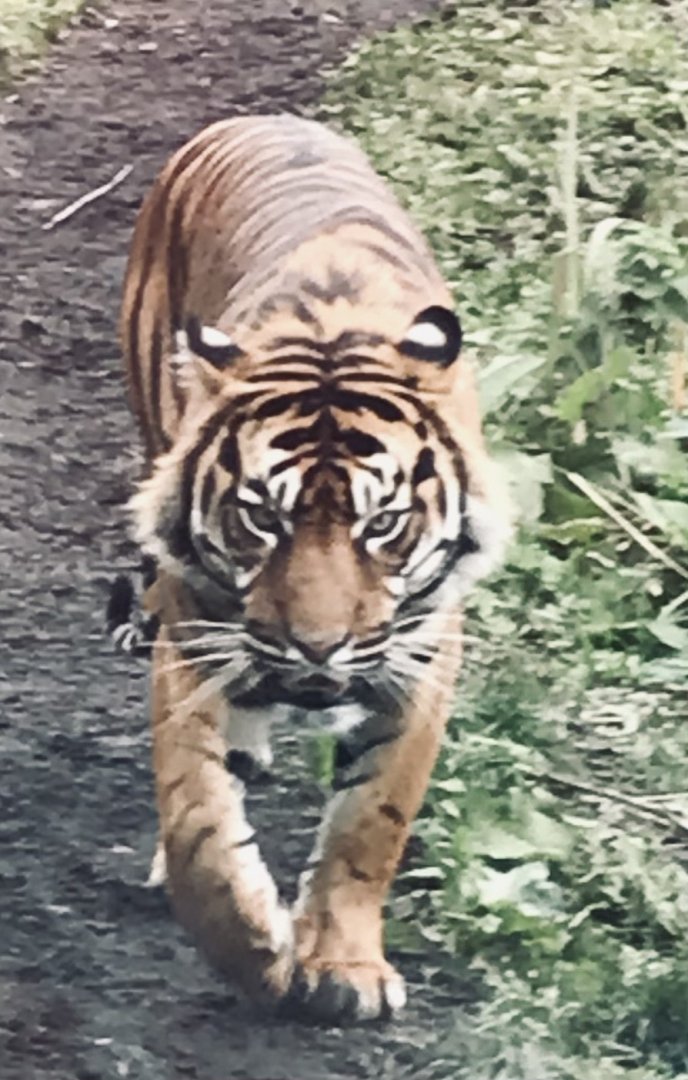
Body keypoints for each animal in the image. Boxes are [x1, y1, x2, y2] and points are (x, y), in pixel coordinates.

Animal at [119, 113, 510, 1023]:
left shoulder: (422, 655)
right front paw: (256, 948)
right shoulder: (194, 636)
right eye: (263, 517)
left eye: (383, 524)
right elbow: (196, 819)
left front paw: (342, 965)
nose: (317, 648)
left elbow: (372, 821)